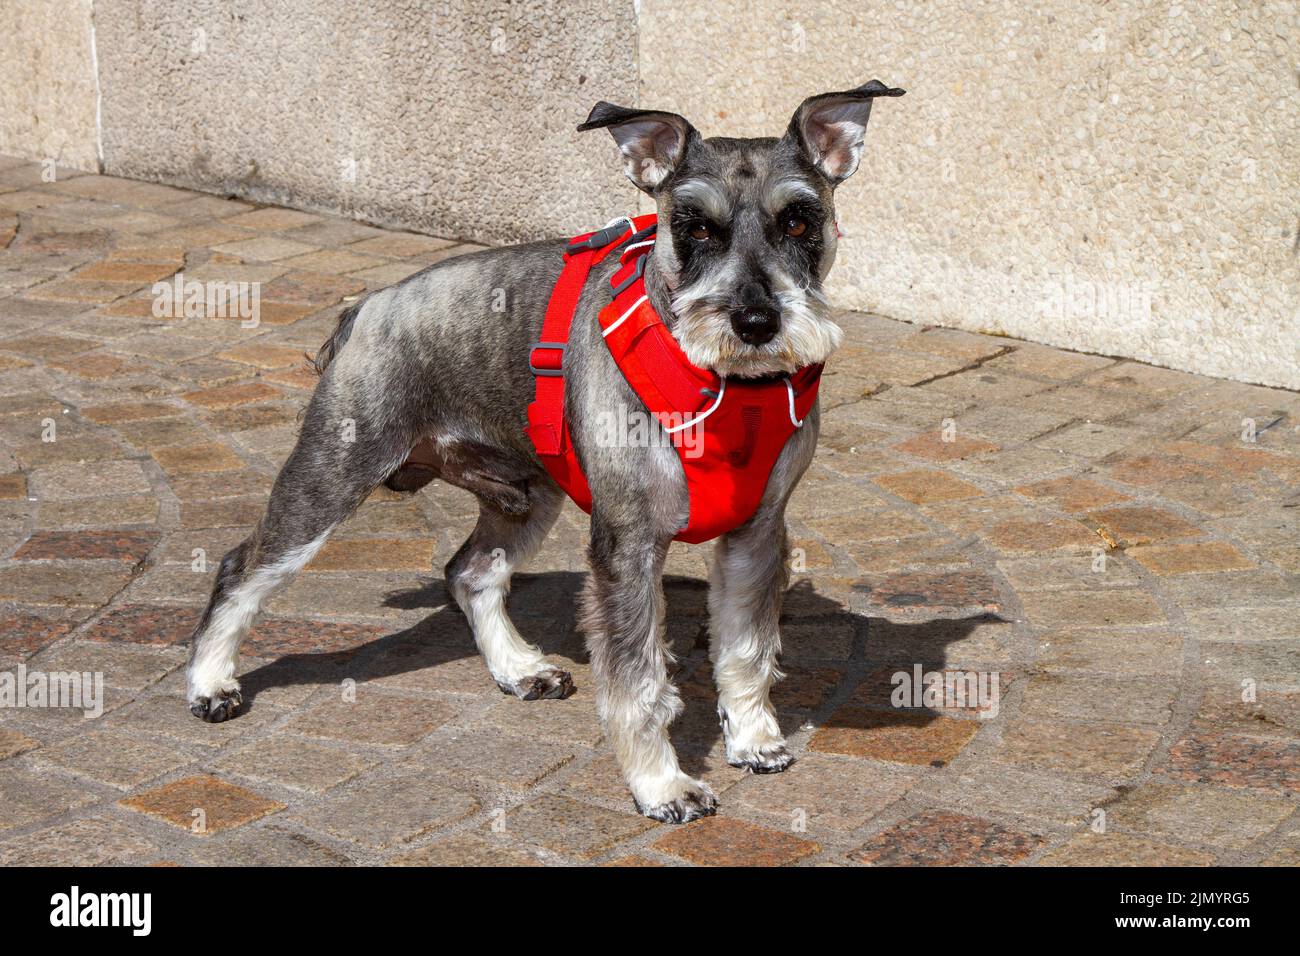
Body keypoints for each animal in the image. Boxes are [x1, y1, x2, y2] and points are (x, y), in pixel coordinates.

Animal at [185, 82, 904, 827]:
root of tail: (369, 306)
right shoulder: (627, 544)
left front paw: (755, 738)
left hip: (527, 494)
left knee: (471, 572)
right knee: (242, 567)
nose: (757, 322)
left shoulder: (756, 534)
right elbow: (637, 681)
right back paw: (211, 683)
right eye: (696, 228)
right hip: (330, 477)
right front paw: (661, 785)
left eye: (799, 220)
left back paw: (520, 669)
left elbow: (746, 649)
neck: (728, 388)